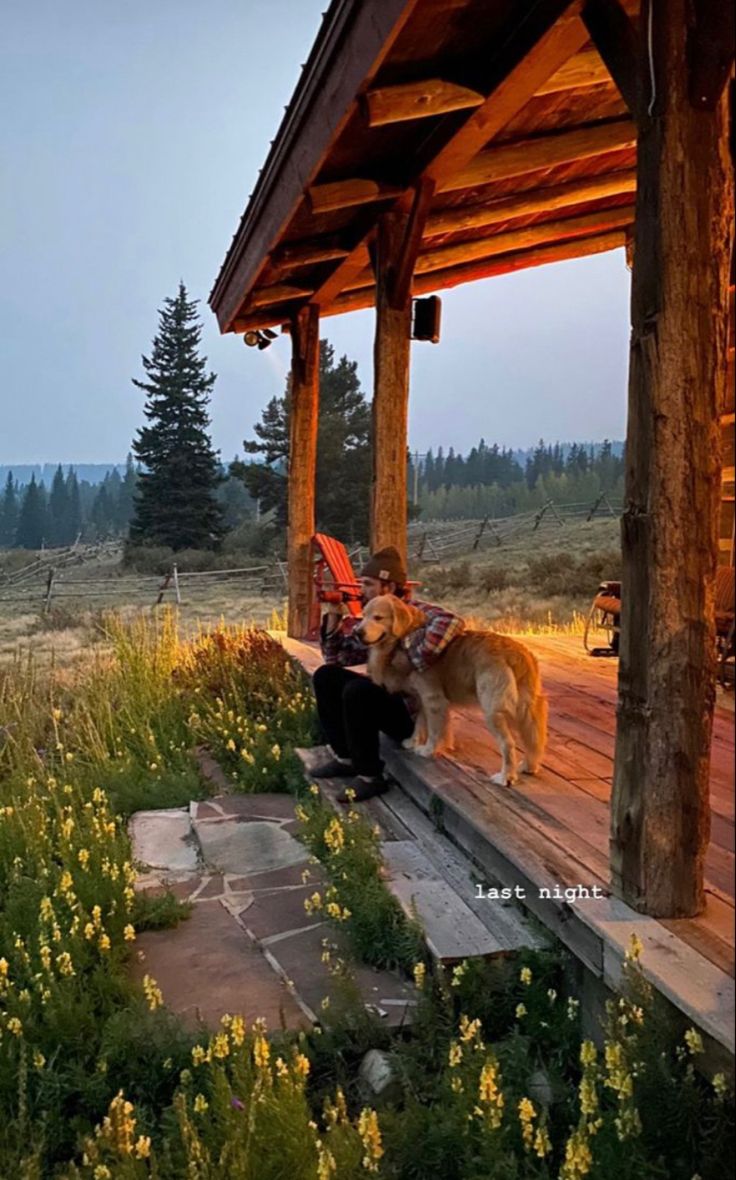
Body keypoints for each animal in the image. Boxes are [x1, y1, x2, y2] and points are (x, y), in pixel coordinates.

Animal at [356, 599, 547, 783]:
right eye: (363, 616)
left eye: (378, 617)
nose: (357, 632)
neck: (407, 637)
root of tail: (517, 654)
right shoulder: (422, 698)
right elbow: (420, 724)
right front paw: (413, 741)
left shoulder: (433, 699)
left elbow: (434, 730)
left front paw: (428, 750)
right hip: (527, 709)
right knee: (534, 739)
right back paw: (528, 766)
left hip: (493, 711)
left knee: (508, 744)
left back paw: (505, 777)